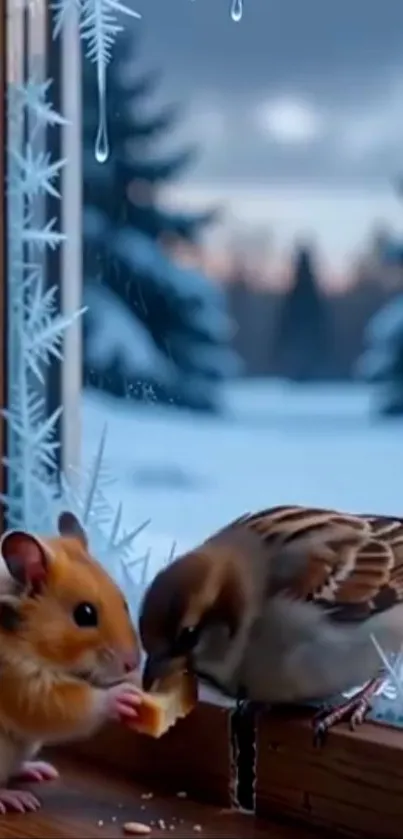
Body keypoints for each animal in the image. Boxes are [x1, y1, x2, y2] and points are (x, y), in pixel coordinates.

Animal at [0, 510, 142, 814]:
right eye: (84, 614)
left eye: (124, 602)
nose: (133, 663)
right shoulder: (26, 688)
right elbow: (75, 705)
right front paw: (123, 696)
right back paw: (17, 799)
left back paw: (39, 770)